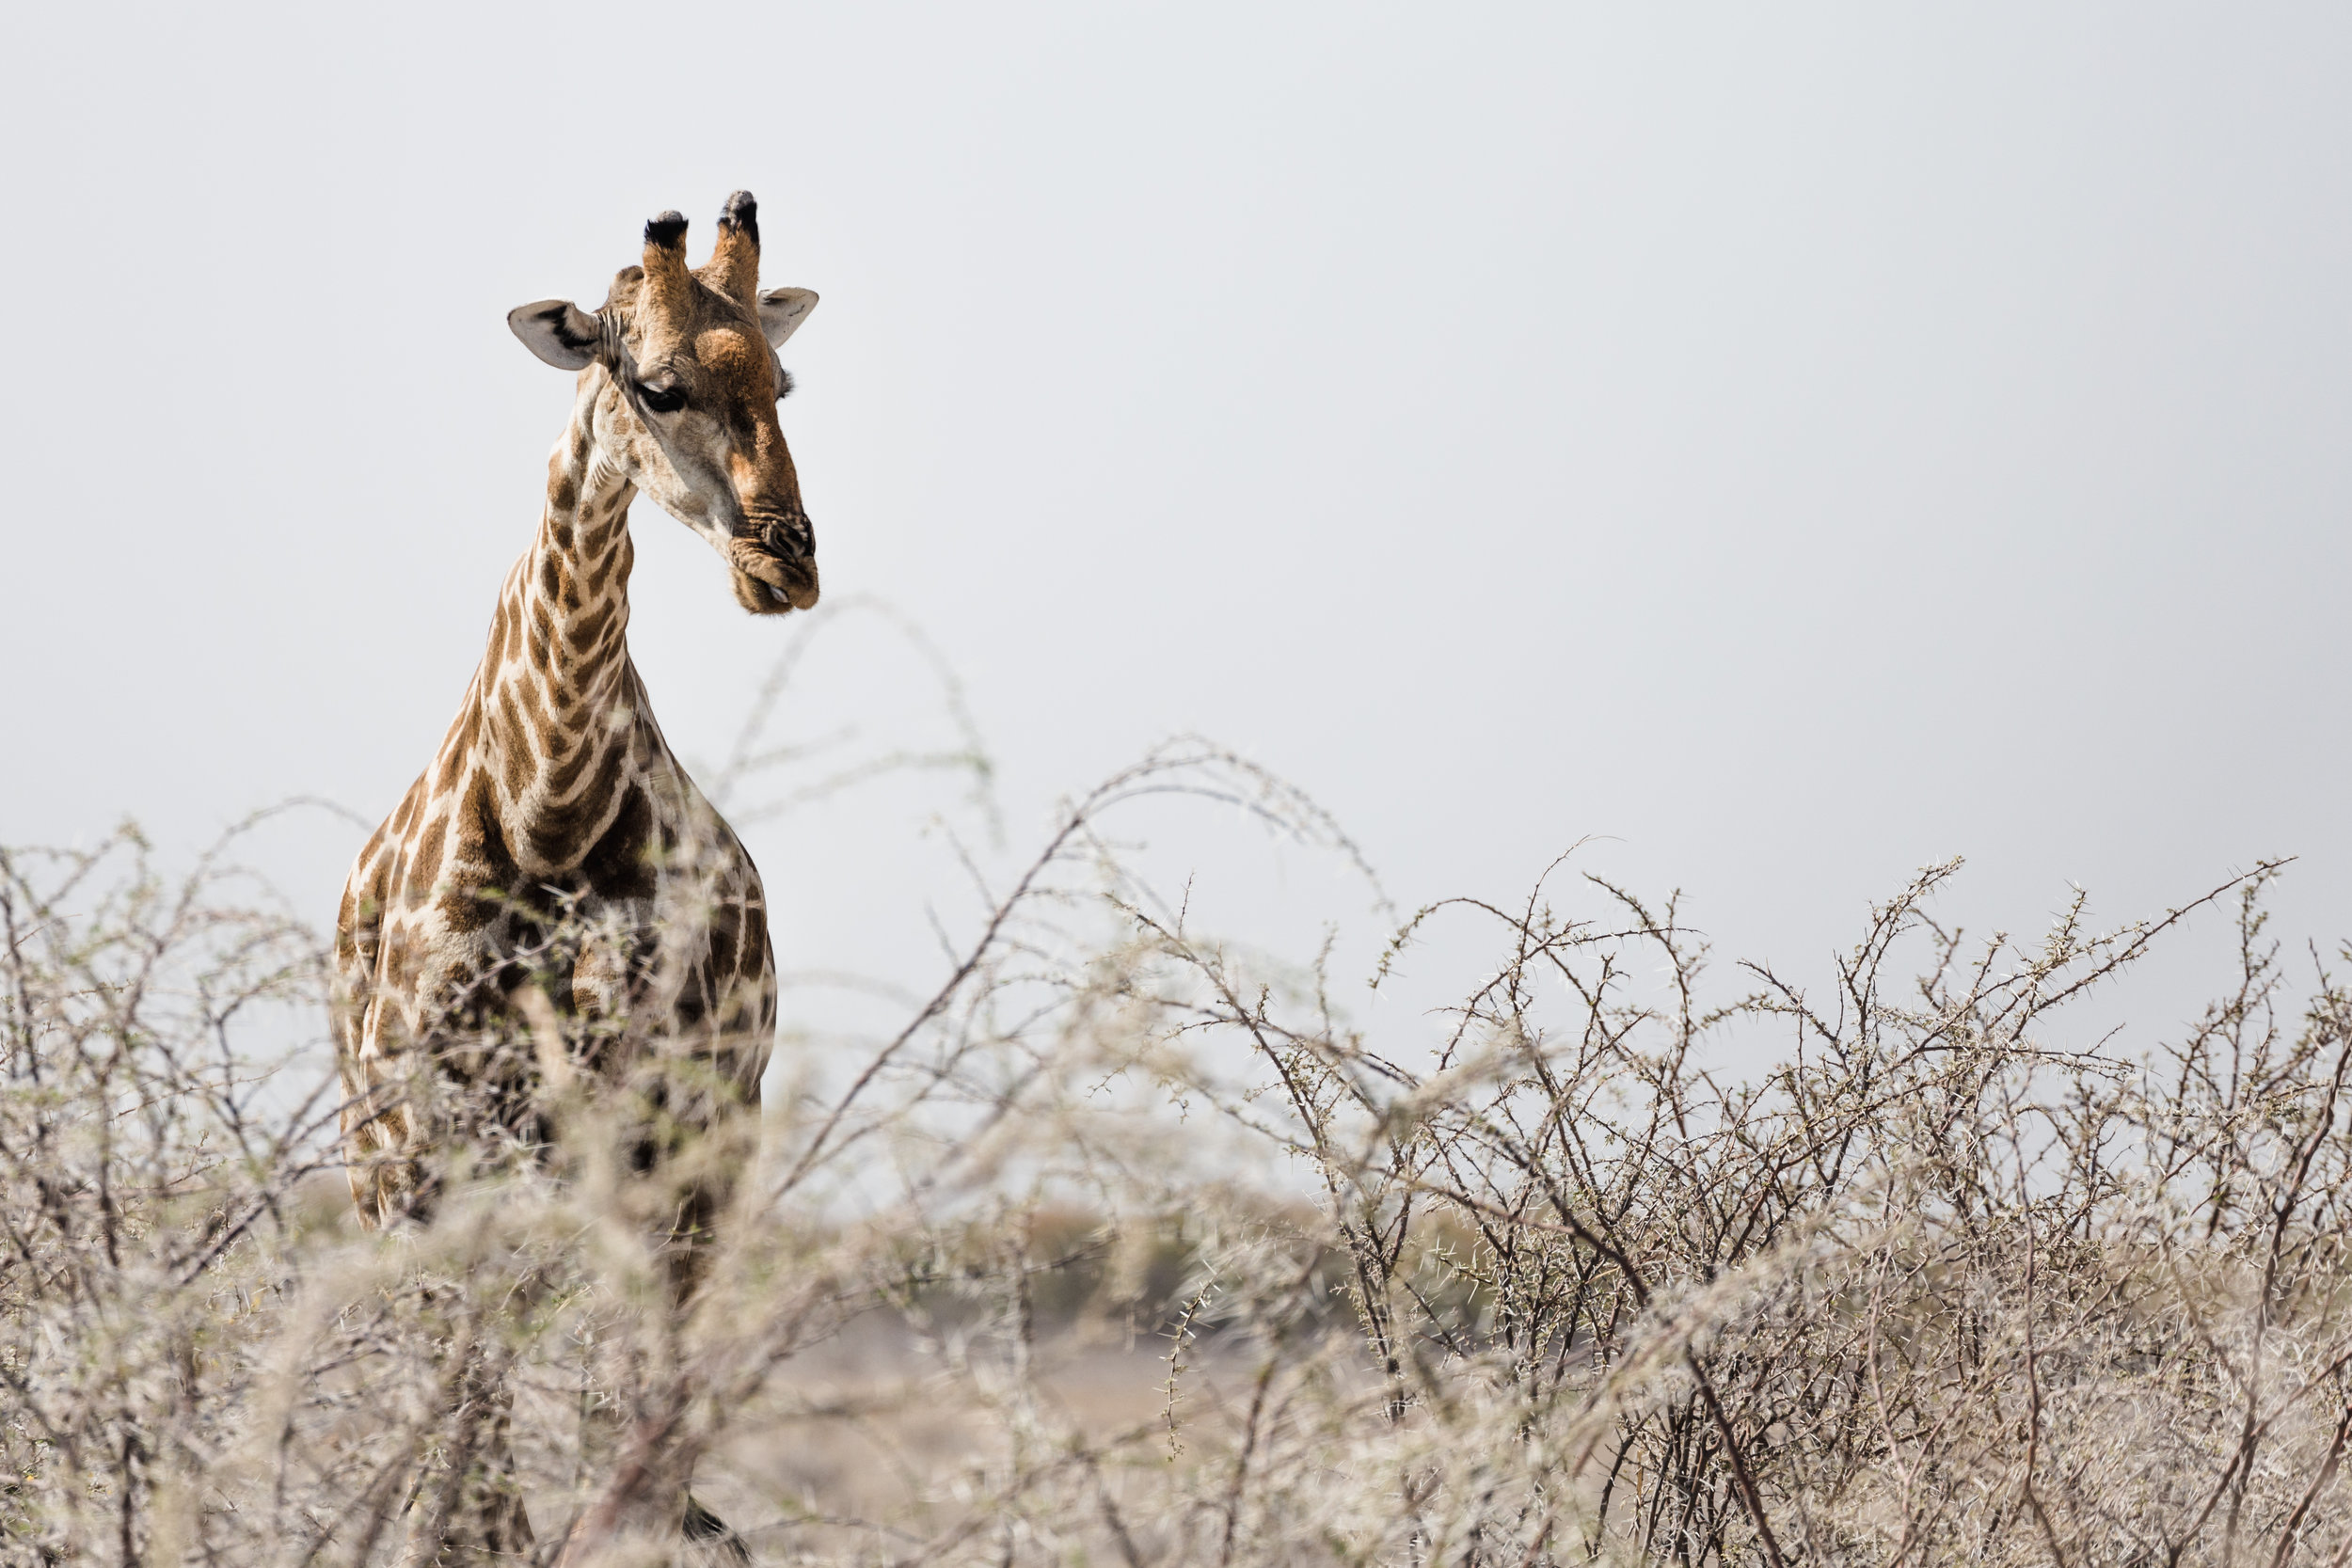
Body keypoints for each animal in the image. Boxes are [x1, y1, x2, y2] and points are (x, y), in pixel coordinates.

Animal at [326, 196, 814, 1568]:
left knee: (651, 1386)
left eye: (782, 382)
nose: (786, 564)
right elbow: (460, 1408)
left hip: (701, 1149)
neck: (546, 804)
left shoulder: (633, 1129)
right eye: (656, 386)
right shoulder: (417, 1146)